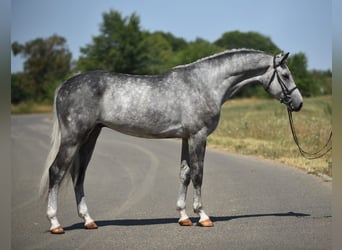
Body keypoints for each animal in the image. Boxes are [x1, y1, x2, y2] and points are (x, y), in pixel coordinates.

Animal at [38, 49, 304, 234]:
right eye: (285, 75)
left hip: (90, 137)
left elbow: (184, 174)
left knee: (78, 175)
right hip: (74, 138)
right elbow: (198, 174)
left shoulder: (186, 137)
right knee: (57, 171)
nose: (299, 103)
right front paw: (203, 216)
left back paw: (89, 221)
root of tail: (65, 84)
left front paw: (184, 217)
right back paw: (55, 223)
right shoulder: (198, 136)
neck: (205, 83)